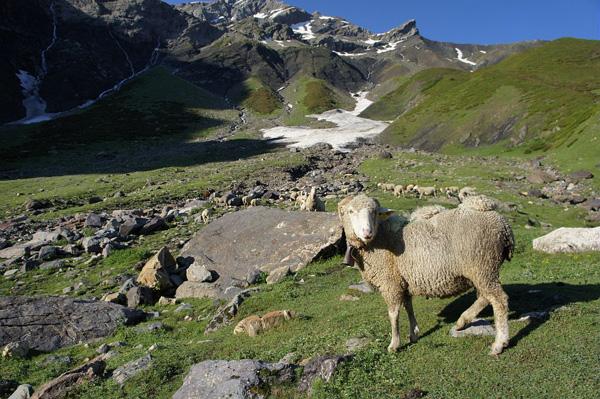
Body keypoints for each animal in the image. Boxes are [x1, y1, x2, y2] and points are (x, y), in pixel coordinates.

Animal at [340, 195, 512, 354]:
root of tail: (502, 223)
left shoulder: (390, 283)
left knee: (499, 300)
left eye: (374, 212)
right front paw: (414, 333)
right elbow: (408, 307)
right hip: (482, 270)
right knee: (485, 297)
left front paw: (394, 344)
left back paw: (499, 343)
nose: (367, 232)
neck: (378, 238)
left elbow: (393, 314)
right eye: (350, 211)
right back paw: (462, 321)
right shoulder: (403, 281)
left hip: (483, 264)